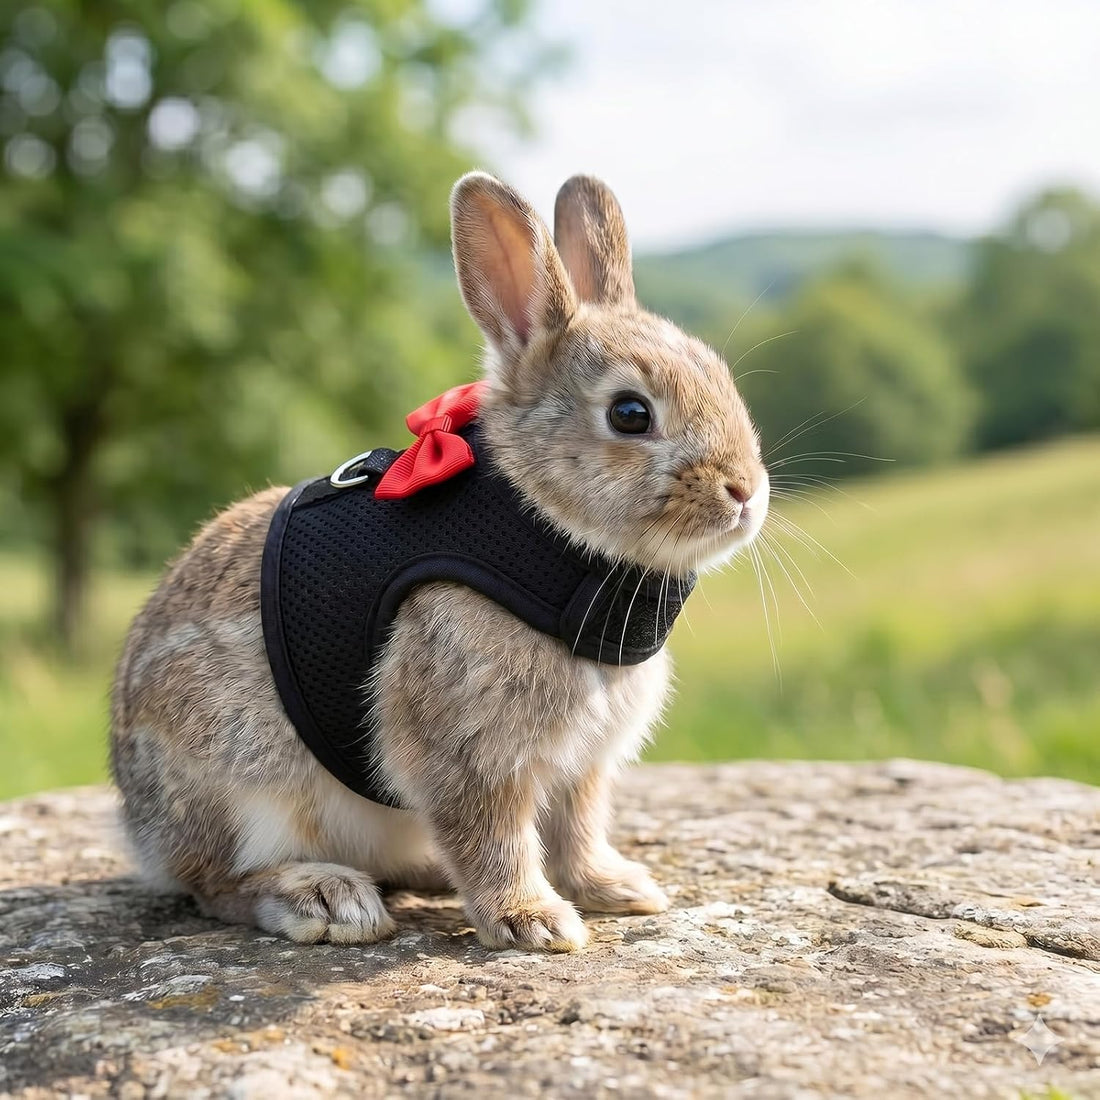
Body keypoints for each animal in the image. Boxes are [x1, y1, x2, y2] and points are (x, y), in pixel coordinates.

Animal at [109, 172, 770, 952]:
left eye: (721, 376)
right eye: (630, 414)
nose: (746, 492)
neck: (545, 528)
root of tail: (138, 823)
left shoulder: (582, 763)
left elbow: (576, 829)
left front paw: (618, 890)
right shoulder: (470, 743)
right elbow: (490, 832)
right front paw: (533, 921)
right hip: (241, 782)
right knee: (214, 884)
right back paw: (323, 899)